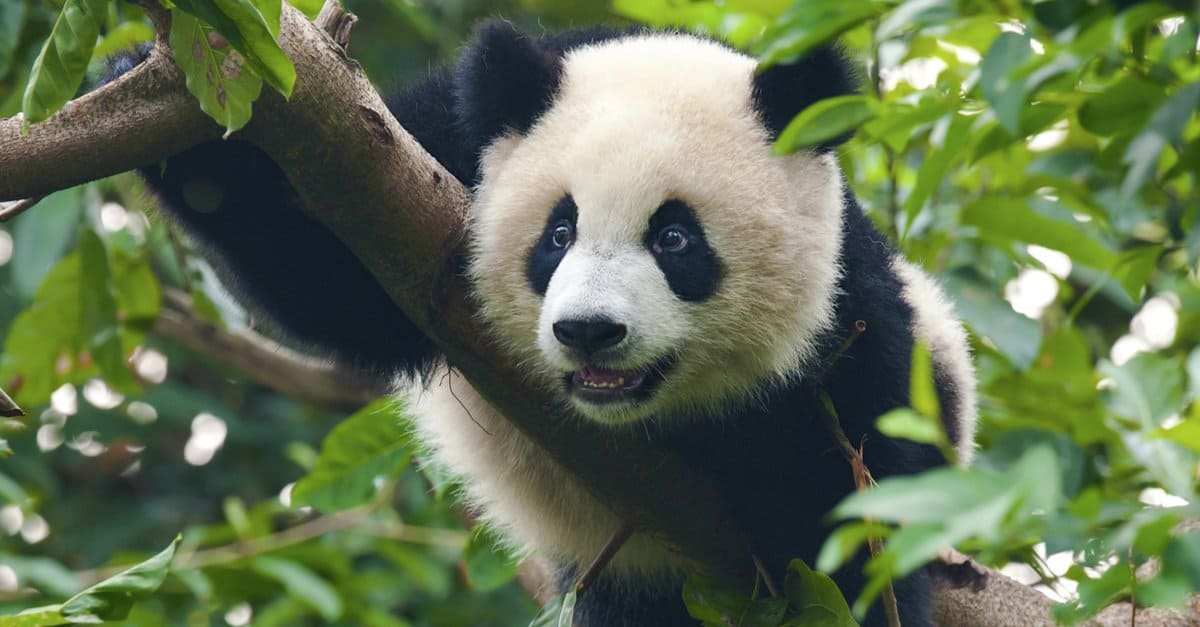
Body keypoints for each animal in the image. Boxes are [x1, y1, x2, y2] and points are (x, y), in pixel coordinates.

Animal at [119, 20, 977, 627]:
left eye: (675, 239)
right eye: (558, 233)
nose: (591, 331)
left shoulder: (849, 334)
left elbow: (853, 522)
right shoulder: (437, 152)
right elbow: (330, 272)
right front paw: (175, 109)